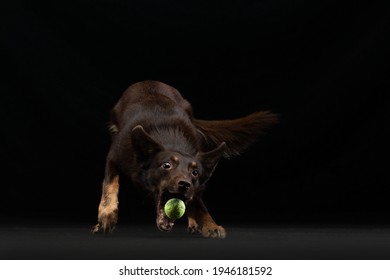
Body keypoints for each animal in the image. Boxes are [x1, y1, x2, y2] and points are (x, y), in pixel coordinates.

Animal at [92, 80, 278, 238]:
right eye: (166, 165)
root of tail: (149, 81)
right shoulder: (113, 158)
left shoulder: (198, 185)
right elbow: (110, 185)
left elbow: (200, 205)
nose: (185, 184)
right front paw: (107, 214)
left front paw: (210, 224)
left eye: (195, 172)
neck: (171, 141)